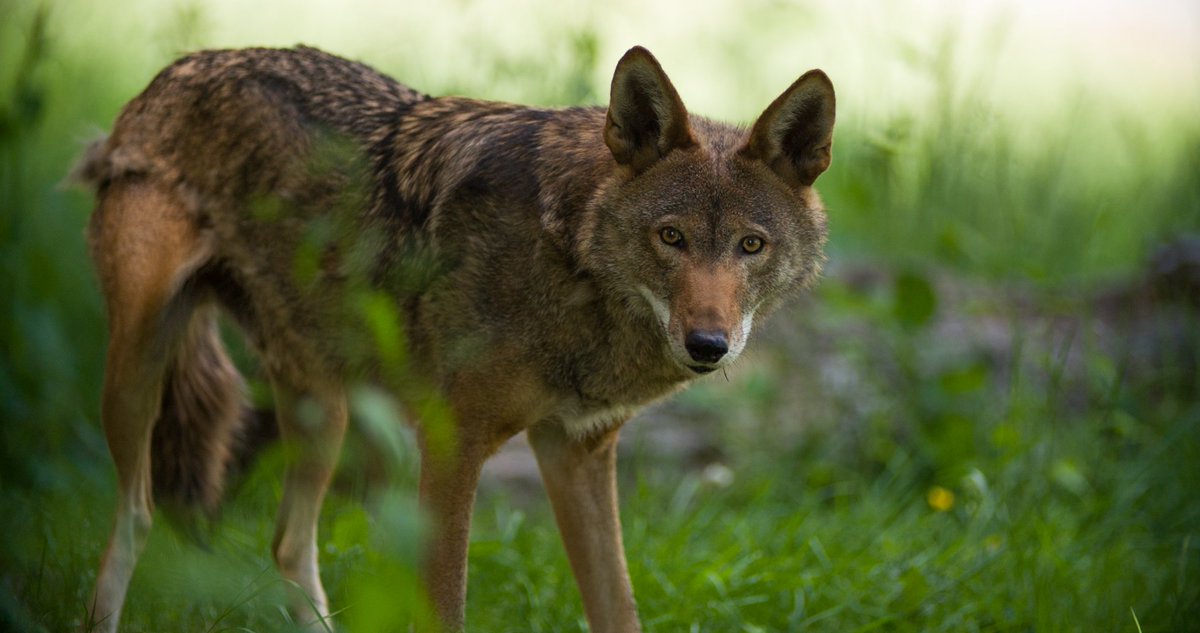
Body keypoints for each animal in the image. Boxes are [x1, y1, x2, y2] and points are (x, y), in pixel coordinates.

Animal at [77, 44, 834, 632]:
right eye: (670, 237)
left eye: (751, 245)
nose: (708, 344)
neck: (569, 260)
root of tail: (176, 70)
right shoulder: (453, 444)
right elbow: (446, 608)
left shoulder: (578, 450)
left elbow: (618, 609)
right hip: (139, 376)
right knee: (136, 518)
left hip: (333, 411)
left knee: (288, 542)